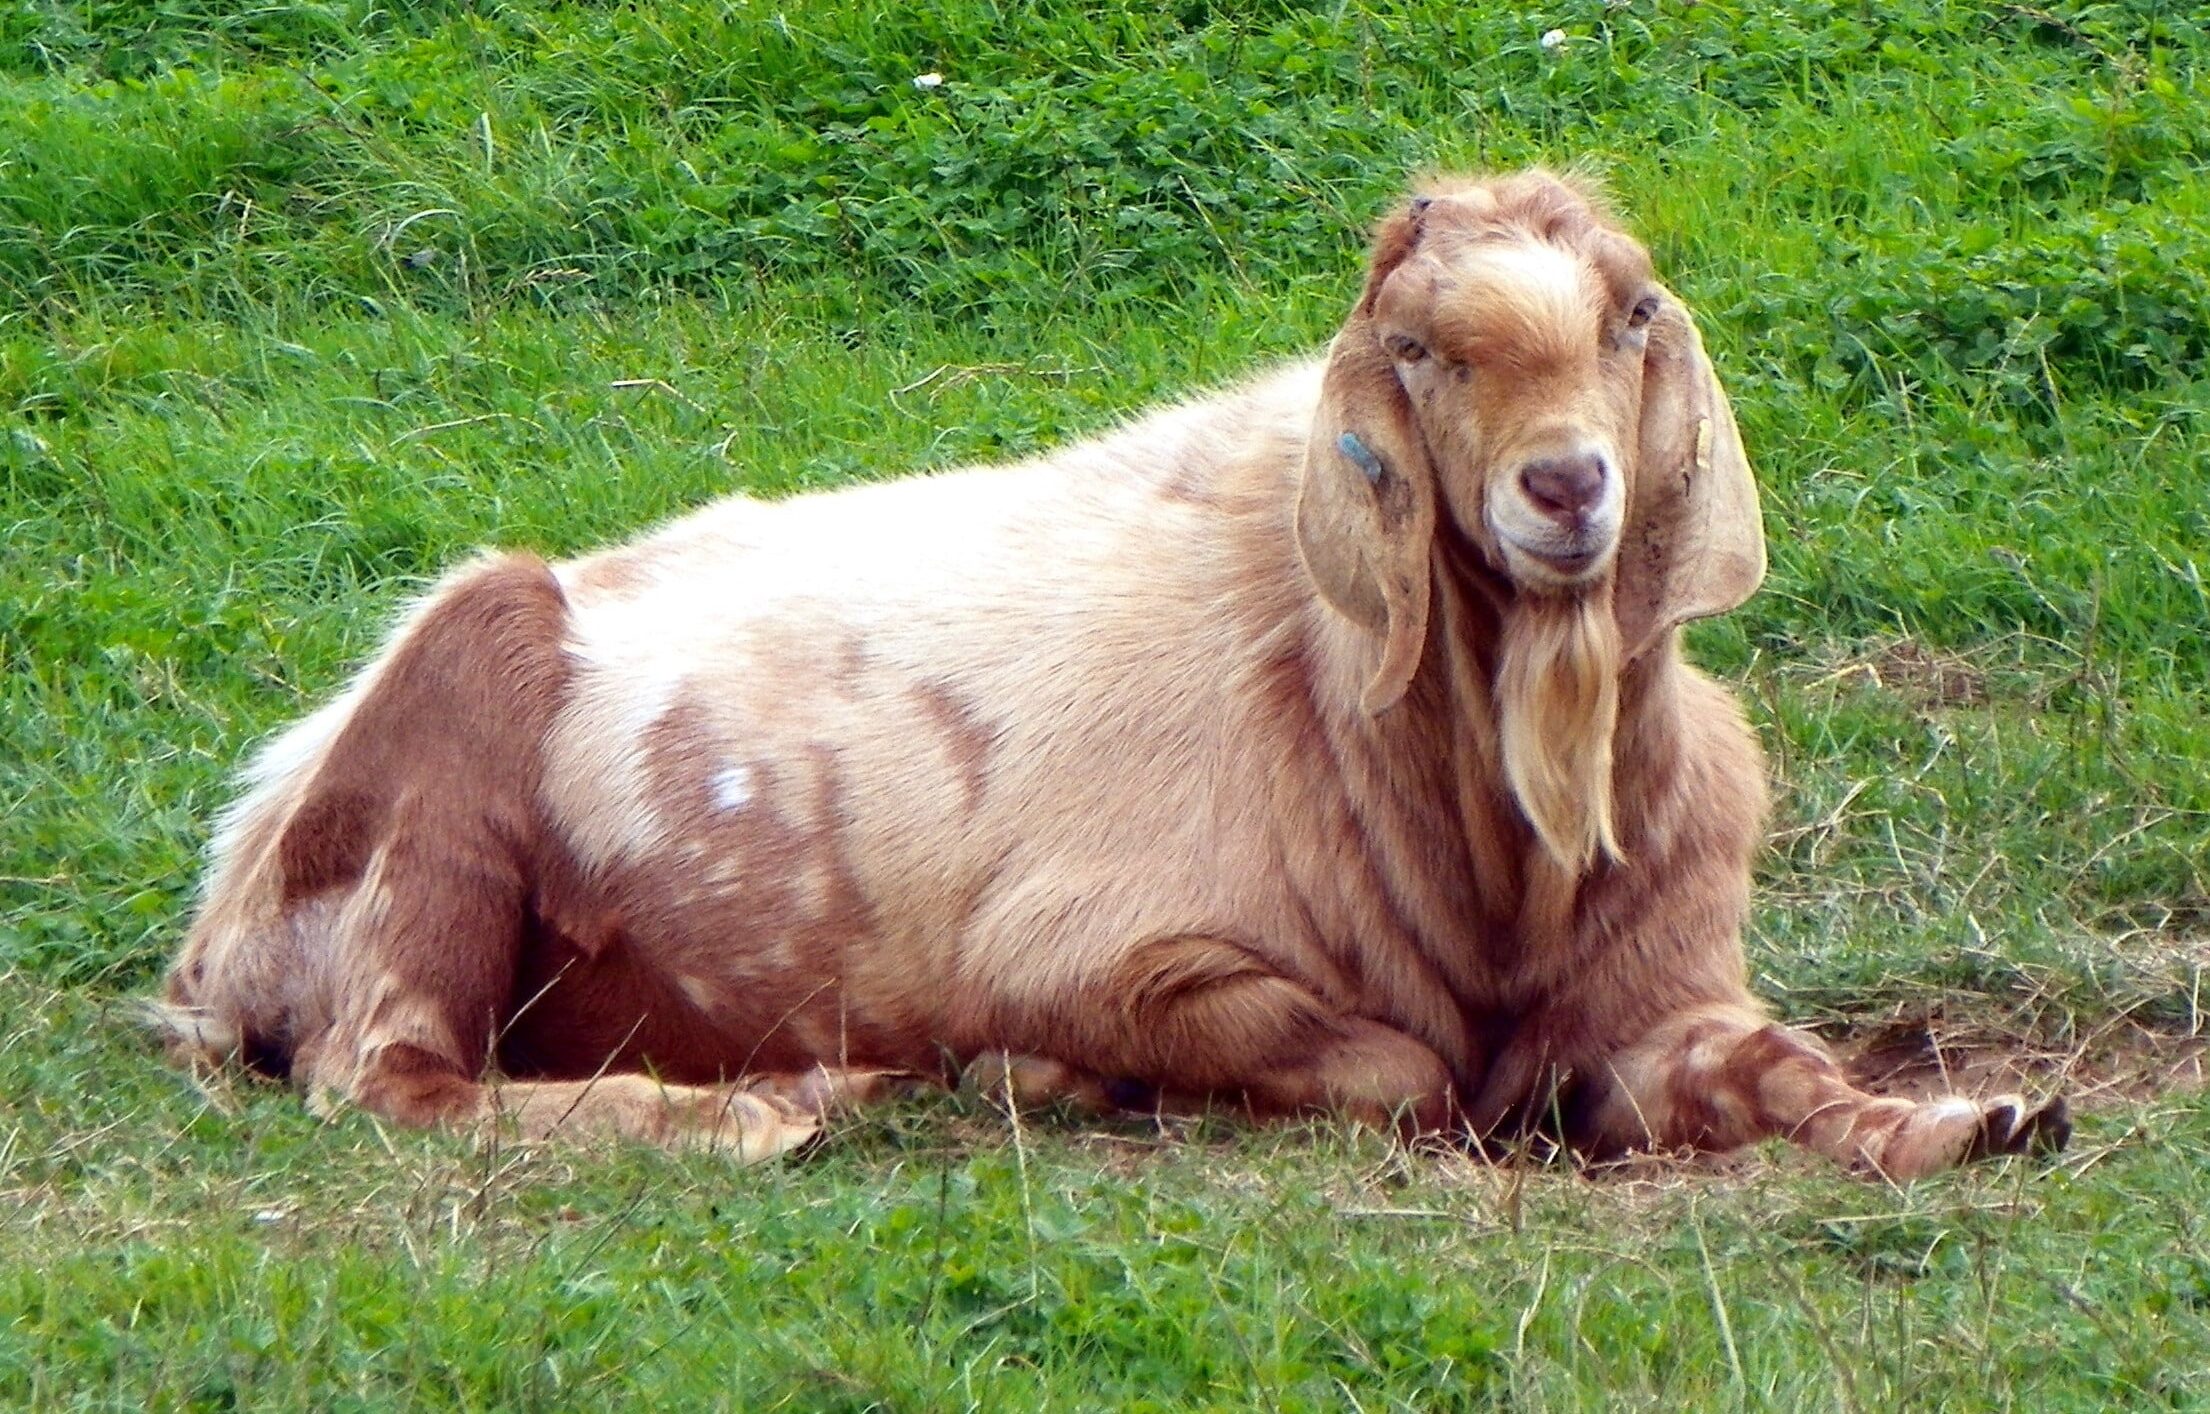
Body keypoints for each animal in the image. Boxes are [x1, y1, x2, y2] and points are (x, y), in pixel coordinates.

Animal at [158, 170, 2067, 1178]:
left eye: (1633, 317)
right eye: (1419, 351)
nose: (1565, 486)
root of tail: (235, 882)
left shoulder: (1658, 989)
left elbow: (1777, 1069)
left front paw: (1976, 1112)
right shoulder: (1089, 944)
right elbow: (1396, 1069)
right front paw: (1053, 1081)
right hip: (454, 714)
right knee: (388, 1075)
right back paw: (785, 1100)